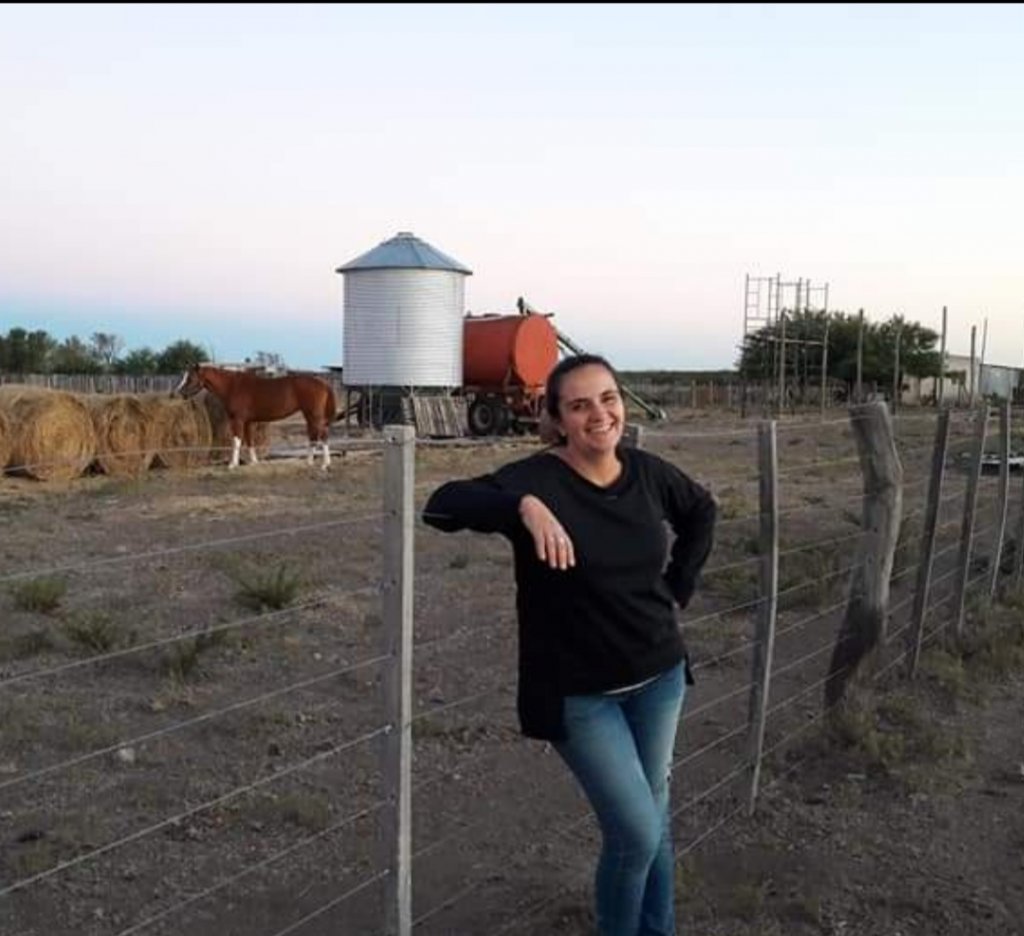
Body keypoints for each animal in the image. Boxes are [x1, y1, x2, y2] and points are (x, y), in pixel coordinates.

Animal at [174, 362, 335, 466]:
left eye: (190, 378)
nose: (179, 393)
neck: (232, 386)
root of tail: (322, 382)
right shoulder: (247, 422)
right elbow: (249, 440)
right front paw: (253, 462)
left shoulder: (238, 420)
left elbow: (237, 440)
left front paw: (232, 464)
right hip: (309, 416)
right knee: (313, 436)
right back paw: (309, 462)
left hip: (315, 415)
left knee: (323, 435)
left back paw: (325, 464)